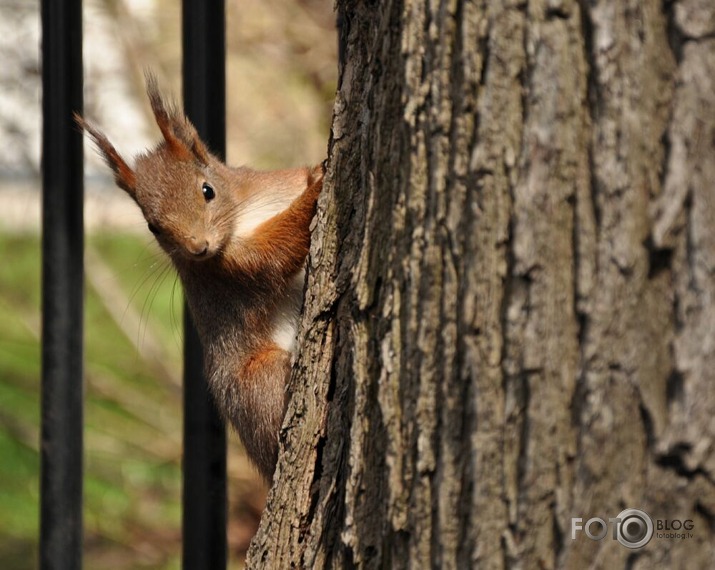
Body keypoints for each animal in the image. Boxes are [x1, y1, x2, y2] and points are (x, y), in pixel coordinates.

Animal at [77, 74, 324, 480]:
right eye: (153, 227)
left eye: (207, 190)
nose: (198, 248)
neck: (247, 211)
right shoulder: (231, 272)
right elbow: (278, 251)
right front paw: (318, 188)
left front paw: (317, 170)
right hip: (259, 378)